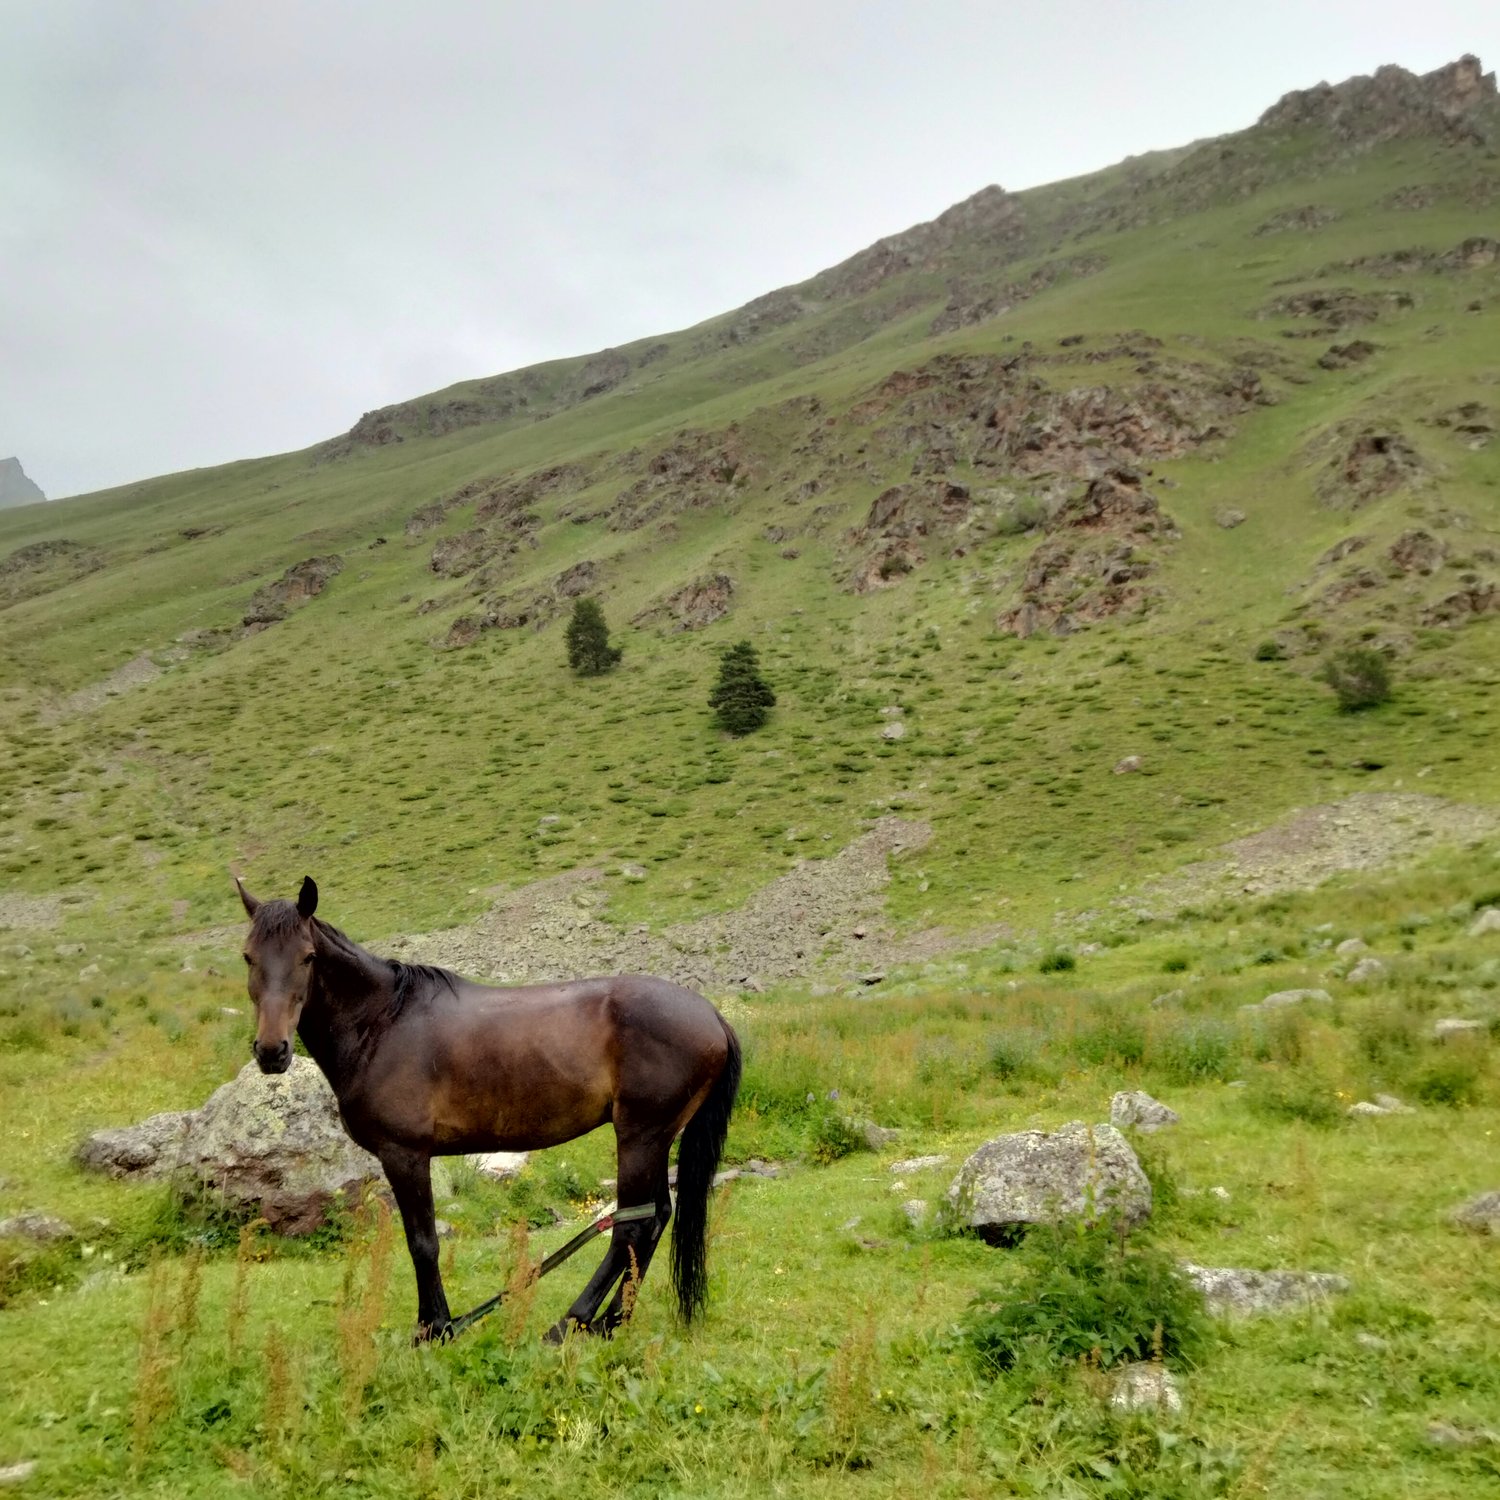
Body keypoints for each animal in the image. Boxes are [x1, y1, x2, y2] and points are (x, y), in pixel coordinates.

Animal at [234, 876, 744, 1344]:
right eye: (248, 957)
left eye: (307, 957)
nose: (272, 1051)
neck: (382, 1023)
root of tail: (712, 1016)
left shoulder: (405, 1155)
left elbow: (423, 1243)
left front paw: (435, 1328)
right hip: (654, 1139)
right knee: (654, 1219)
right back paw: (609, 1323)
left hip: (640, 1137)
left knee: (629, 1229)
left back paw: (570, 1323)